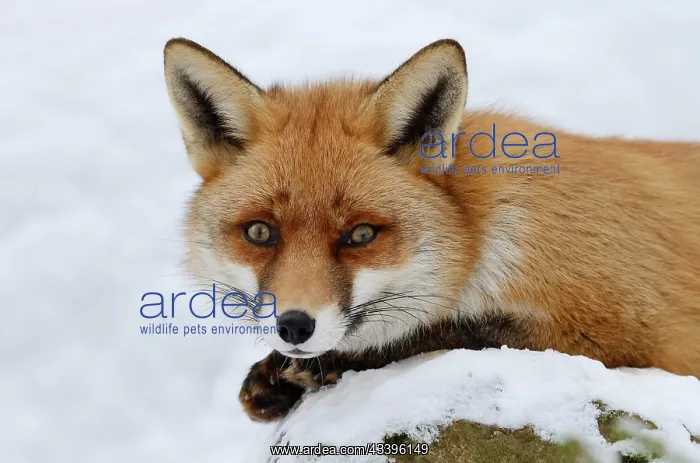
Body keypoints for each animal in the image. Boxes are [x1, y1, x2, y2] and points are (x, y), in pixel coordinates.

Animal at [162, 37, 700, 422]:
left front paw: (320, 366)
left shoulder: (623, 334)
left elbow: (455, 332)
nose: (293, 325)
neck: (487, 229)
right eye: (260, 233)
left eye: (361, 235)